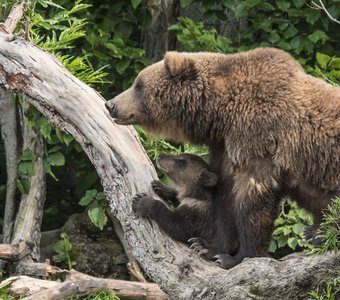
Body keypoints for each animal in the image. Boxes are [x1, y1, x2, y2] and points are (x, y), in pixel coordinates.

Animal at [105, 48, 340, 268]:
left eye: (139, 85)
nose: (110, 104)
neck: (222, 113)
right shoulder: (224, 147)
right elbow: (224, 198)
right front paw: (209, 247)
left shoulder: (258, 141)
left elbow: (252, 202)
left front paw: (238, 256)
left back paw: (316, 234)